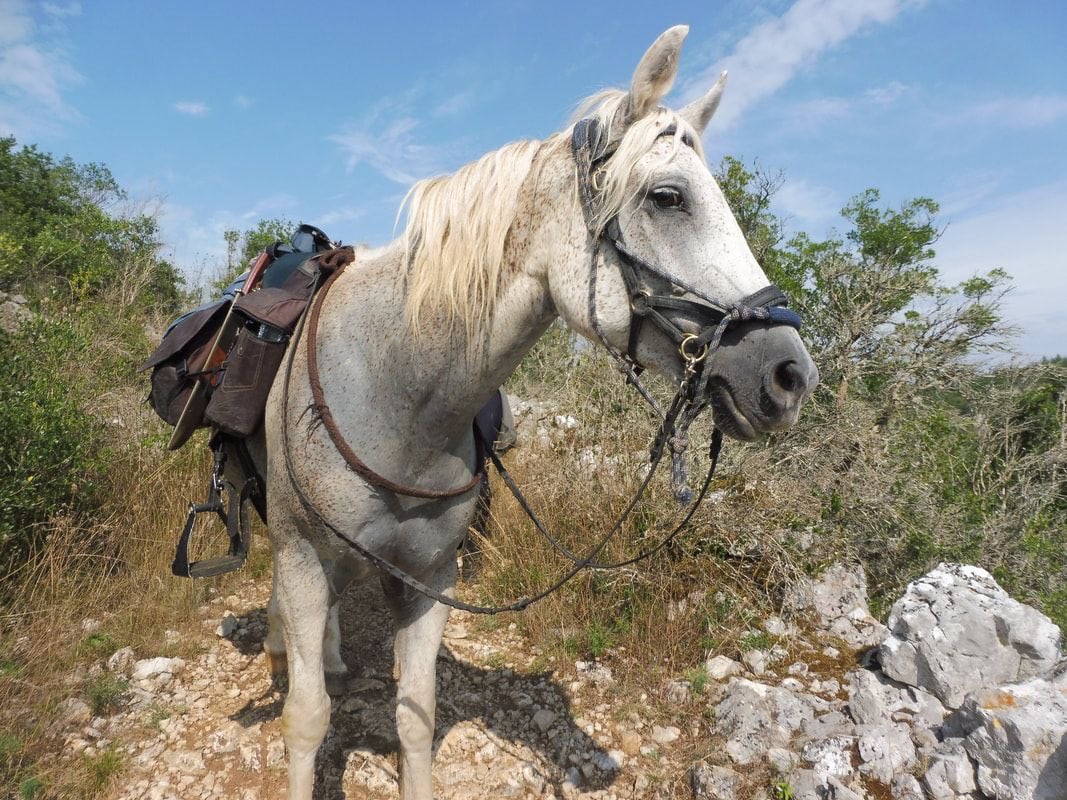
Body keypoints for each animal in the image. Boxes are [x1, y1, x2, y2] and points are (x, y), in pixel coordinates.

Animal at [254, 25, 818, 799]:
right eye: (667, 197)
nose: (791, 376)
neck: (396, 396)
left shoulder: (431, 579)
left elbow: (414, 718)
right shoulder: (306, 560)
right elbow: (307, 719)